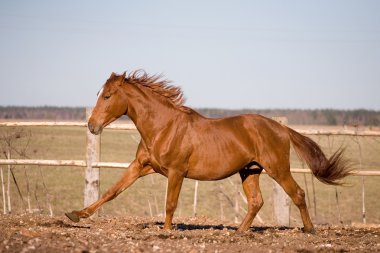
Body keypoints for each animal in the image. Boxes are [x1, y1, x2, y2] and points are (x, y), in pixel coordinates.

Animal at [65, 69, 350, 233]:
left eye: (108, 96)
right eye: (100, 94)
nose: (92, 125)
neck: (163, 126)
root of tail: (280, 127)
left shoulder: (176, 171)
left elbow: (170, 203)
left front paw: (165, 232)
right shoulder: (141, 167)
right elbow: (112, 191)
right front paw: (76, 215)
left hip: (277, 168)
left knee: (297, 193)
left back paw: (310, 230)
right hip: (250, 171)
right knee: (256, 201)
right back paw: (238, 233)